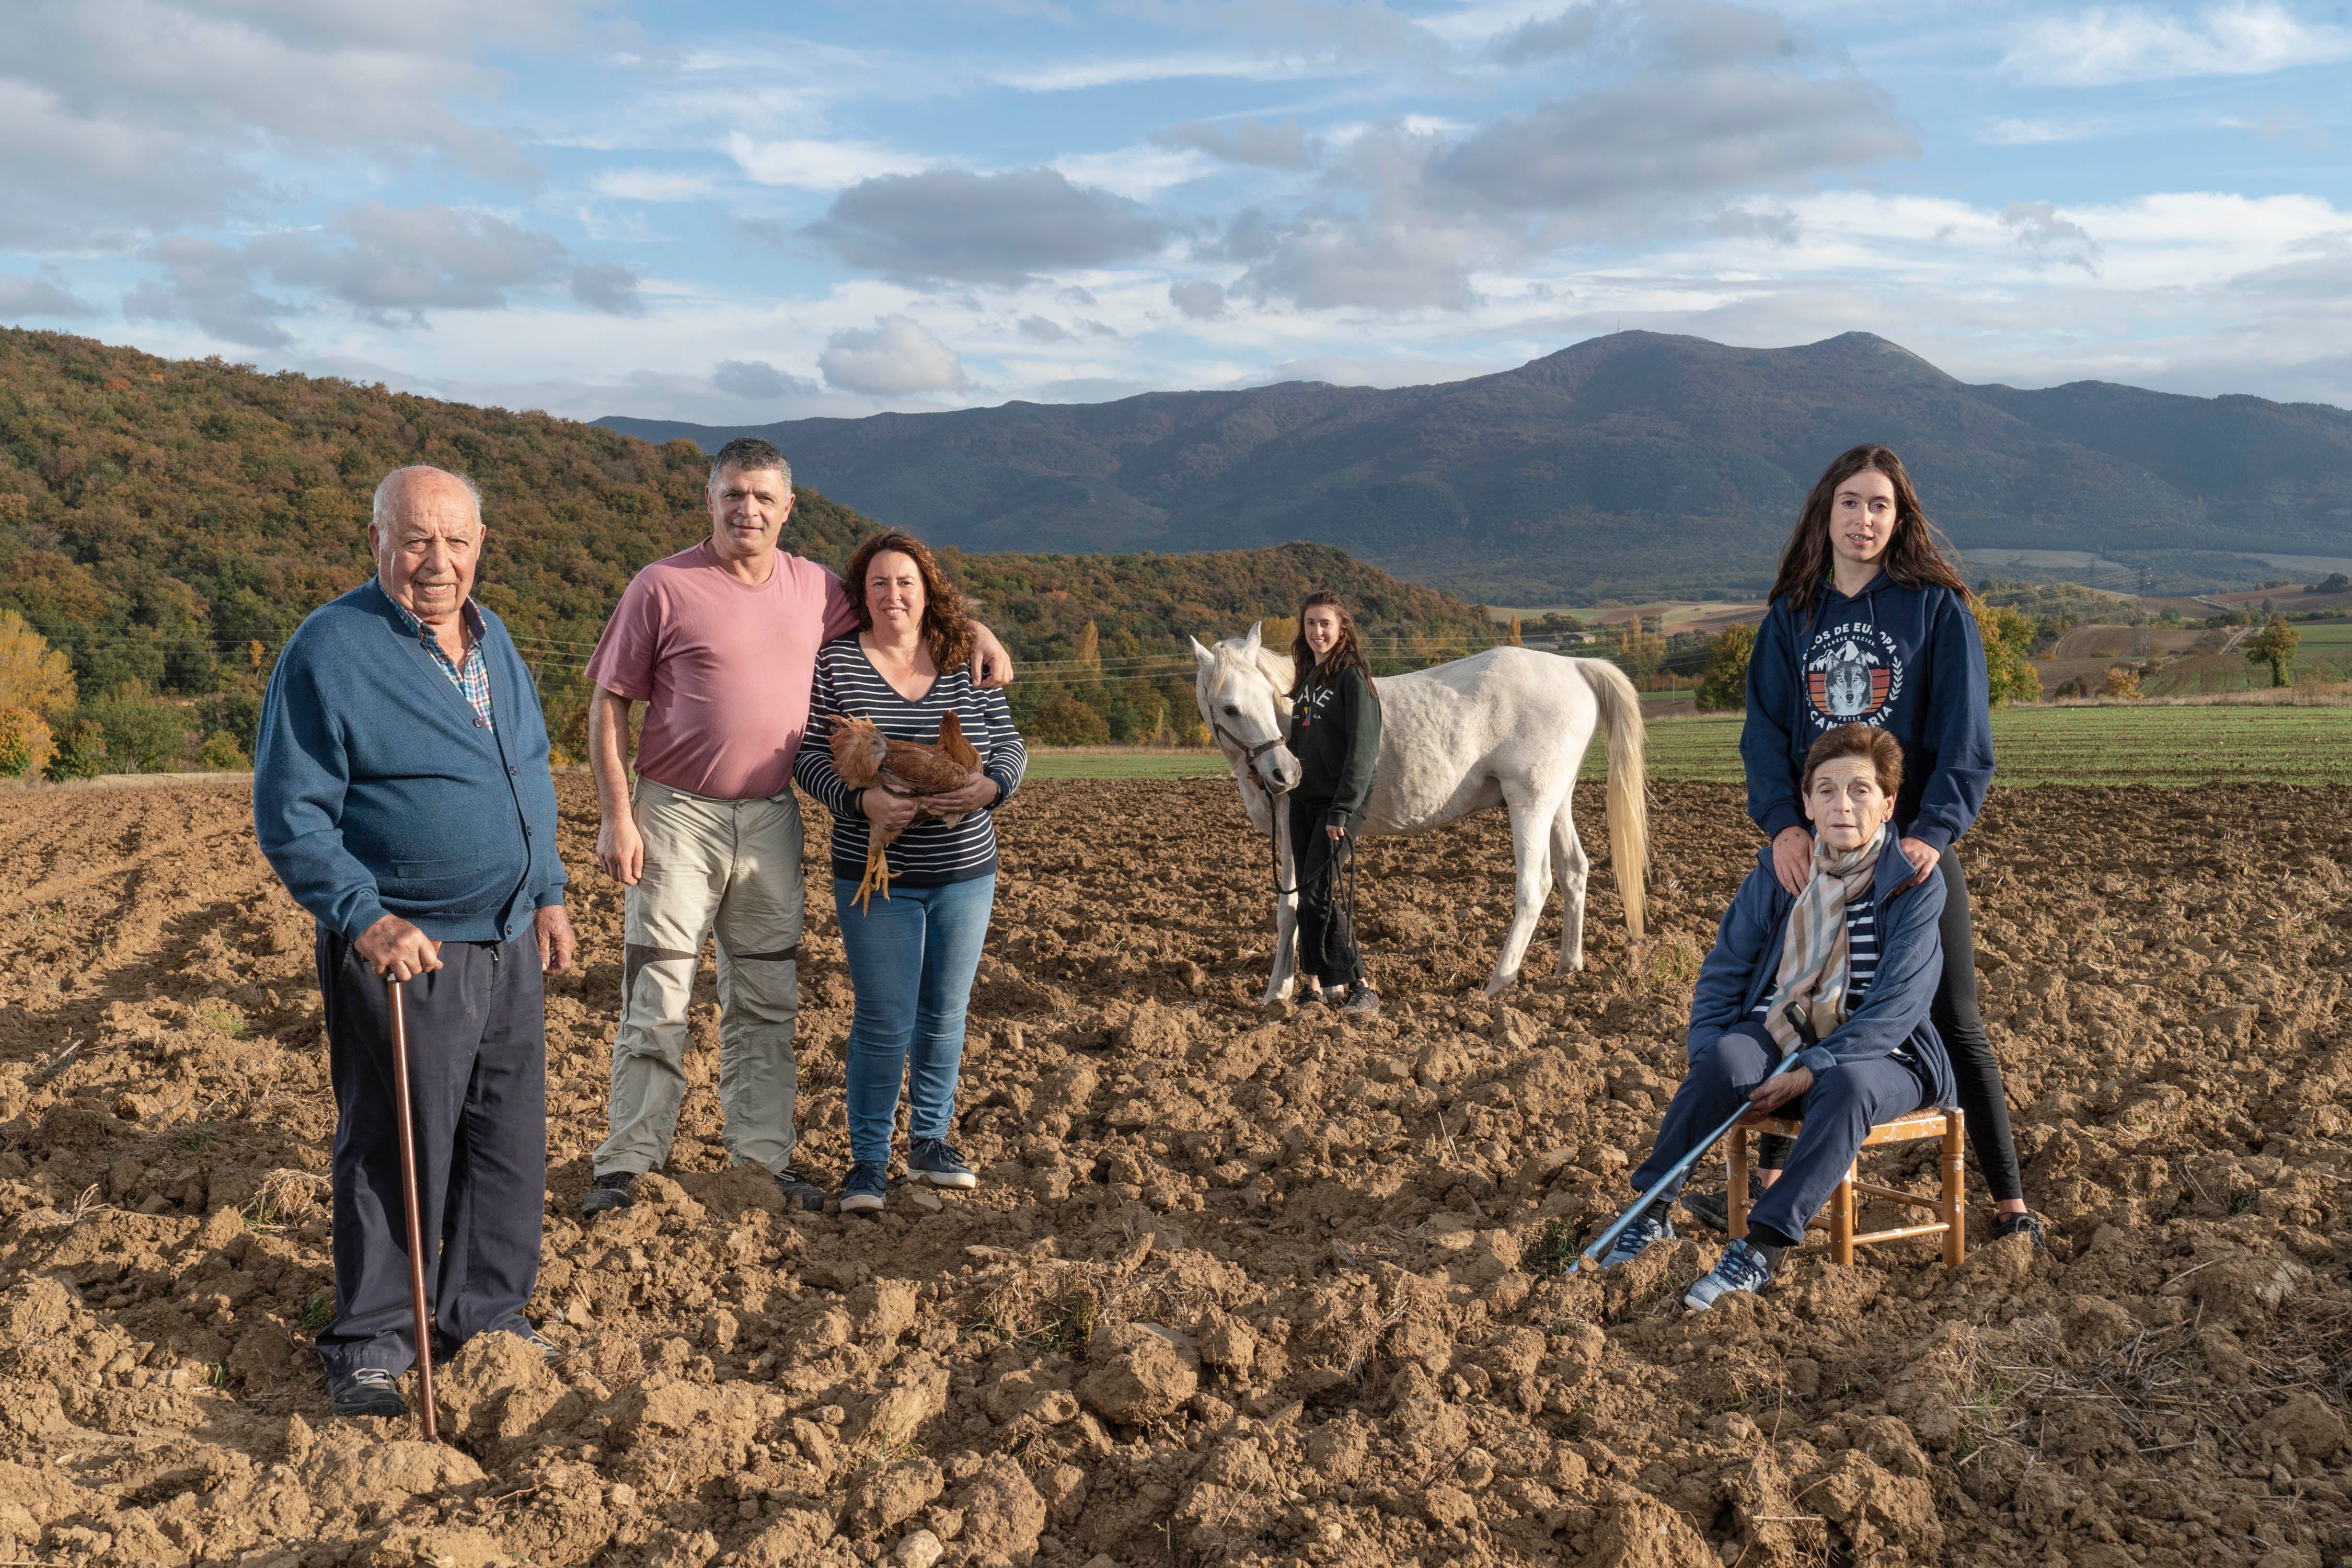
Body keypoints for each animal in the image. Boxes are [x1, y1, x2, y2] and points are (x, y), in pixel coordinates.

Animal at [1185, 620, 1646, 1001]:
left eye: (1267, 696)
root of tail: (1575, 666)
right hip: (1557, 802)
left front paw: (1276, 994)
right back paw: (1568, 966)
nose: (1286, 771)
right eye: (1230, 708)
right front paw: (1332, 988)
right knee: (1575, 872)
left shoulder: (1291, 826)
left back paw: (1497, 983)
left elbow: (1291, 910)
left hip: (1530, 803)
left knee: (1534, 888)